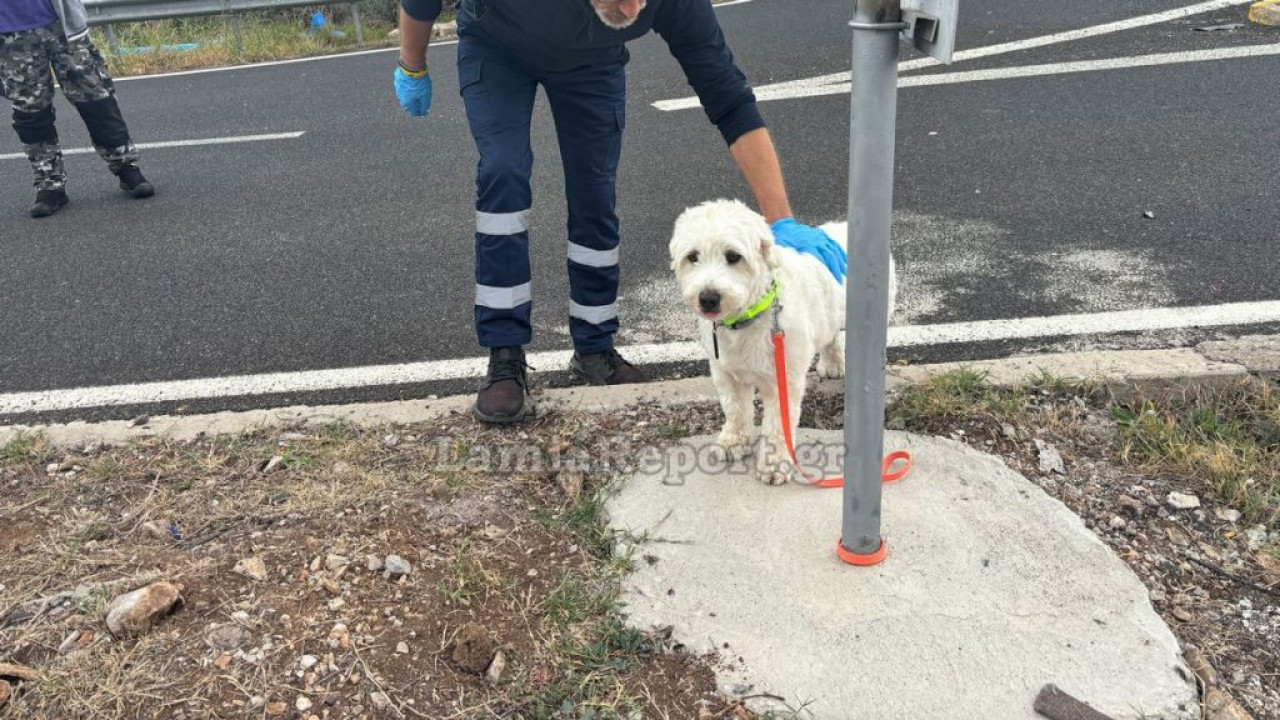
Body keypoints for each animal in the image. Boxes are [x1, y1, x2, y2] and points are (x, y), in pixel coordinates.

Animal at [670, 198, 901, 484]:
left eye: (733, 256)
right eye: (692, 256)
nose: (708, 298)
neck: (752, 315)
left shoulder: (783, 380)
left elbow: (778, 425)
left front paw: (774, 465)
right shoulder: (726, 374)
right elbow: (735, 410)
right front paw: (734, 441)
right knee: (831, 335)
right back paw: (833, 363)